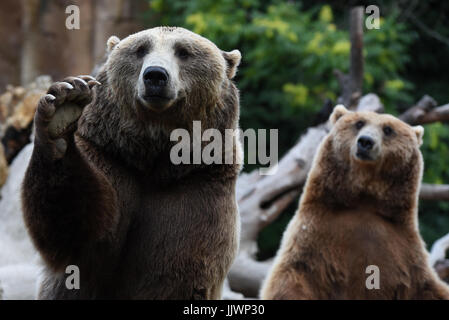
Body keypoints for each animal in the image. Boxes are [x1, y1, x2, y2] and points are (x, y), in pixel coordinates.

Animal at [21, 27, 242, 300]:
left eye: (183, 52)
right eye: (140, 49)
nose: (155, 75)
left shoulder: (199, 187)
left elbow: (178, 270)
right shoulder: (111, 159)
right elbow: (77, 233)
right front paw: (64, 105)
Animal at [260, 105, 449, 300]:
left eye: (388, 129)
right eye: (359, 123)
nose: (365, 141)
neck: (364, 199)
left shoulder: (405, 253)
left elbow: (429, 288)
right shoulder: (314, 237)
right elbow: (294, 276)